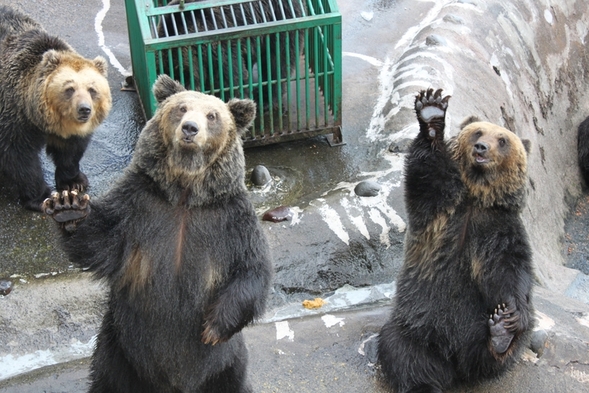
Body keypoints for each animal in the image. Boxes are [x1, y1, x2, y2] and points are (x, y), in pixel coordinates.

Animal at [0, 3, 111, 211]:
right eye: (70, 88)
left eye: (92, 89)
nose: (84, 110)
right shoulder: (13, 114)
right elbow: (19, 155)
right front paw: (42, 195)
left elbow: (71, 149)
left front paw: (74, 182)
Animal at [43, 74, 274, 392]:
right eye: (181, 108)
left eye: (212, 115)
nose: (190, 128)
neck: (185, 195)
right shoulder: (138, 205)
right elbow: (99, 241)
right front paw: (67, 206)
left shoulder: (230, 220)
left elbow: (251, 269)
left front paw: (213, 327)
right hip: (120, 346)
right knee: (108, 377)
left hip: (225, 364)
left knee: (233, 380)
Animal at [376, 89, 532, 392]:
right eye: (478, 132)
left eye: (503, 140)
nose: (481, 148)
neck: (476, 199)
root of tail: (456, 360)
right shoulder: (442, 207)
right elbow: (426, 171)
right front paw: (432, 113)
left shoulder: (499, 227)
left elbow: (511, 269)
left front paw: (510, 316)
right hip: (416, 322)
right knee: (404, 354)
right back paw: (422, 383)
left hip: (471, 325)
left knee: (502, 348)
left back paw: (500, 335)